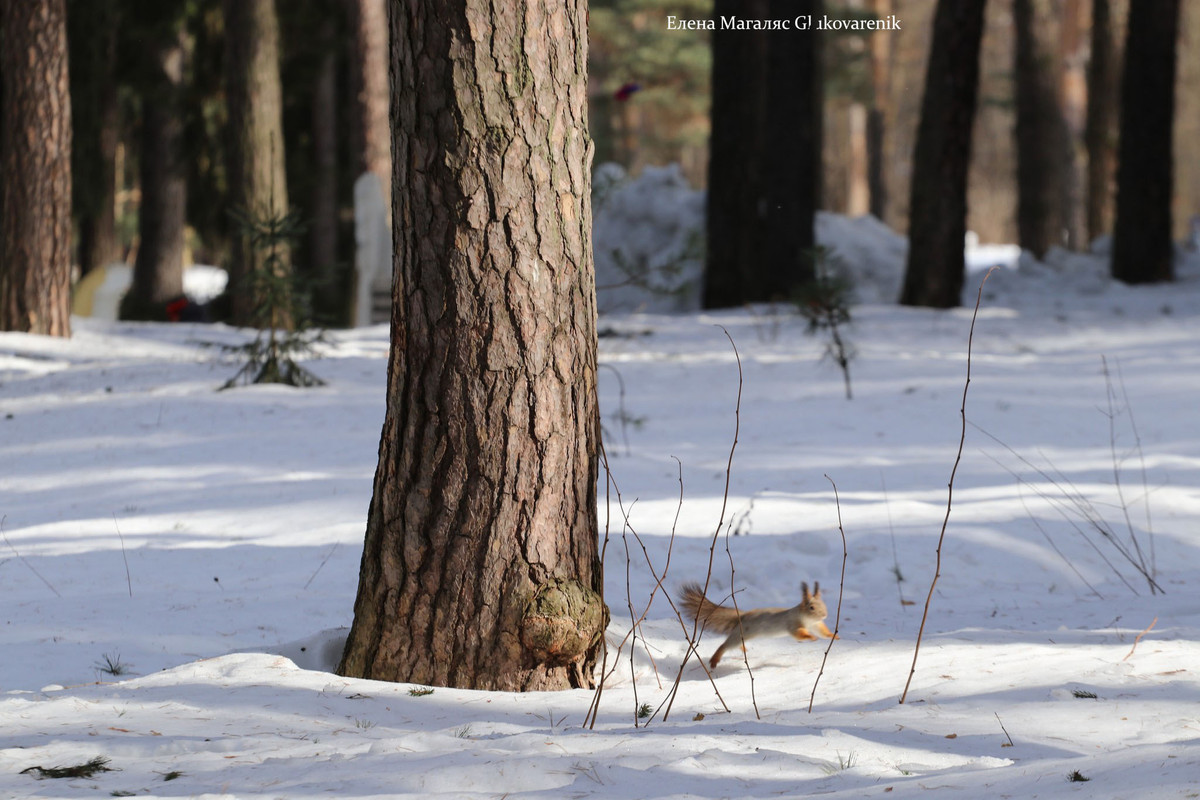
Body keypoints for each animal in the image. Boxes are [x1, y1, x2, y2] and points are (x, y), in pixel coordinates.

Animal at [681, 582, 840, 671]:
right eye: (811, 607)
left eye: (823, 604)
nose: (824, 615)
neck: (807, 620)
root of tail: (743, 615)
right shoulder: (792, 624)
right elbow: (799, 634)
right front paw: (810, 637)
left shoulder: (816, 625)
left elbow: (823, 632)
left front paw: (833, 635)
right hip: (741, 633)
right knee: (724, 645)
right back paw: (714, 660)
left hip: (741, 634)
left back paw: (743, 649)